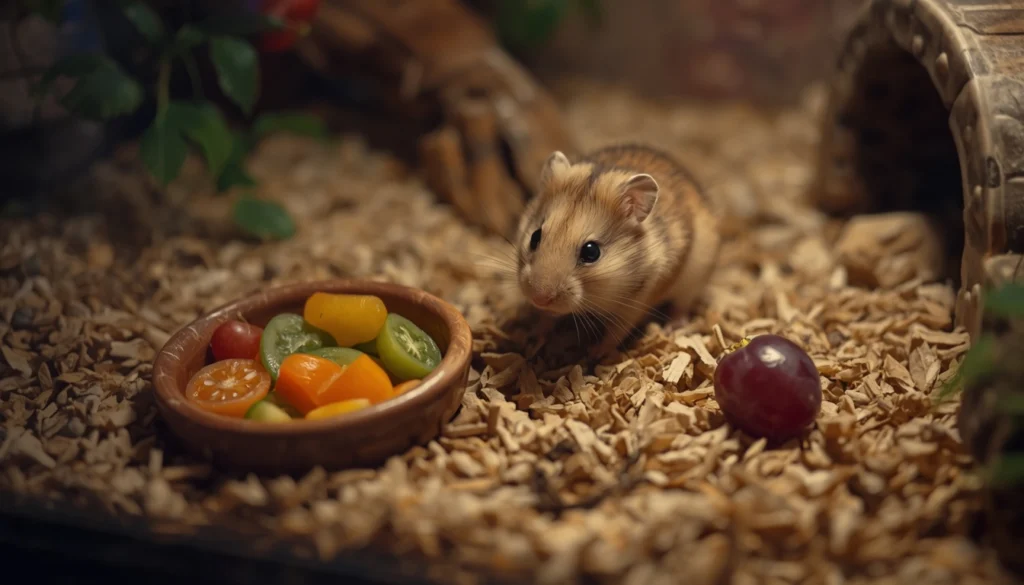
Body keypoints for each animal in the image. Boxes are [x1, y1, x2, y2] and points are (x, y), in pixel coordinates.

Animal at [515, 144, 721, 358]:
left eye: (591, 252)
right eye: (535, 237)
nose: (539, 298)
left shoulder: (636, 304)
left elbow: (616, 332)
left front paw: (594, 353)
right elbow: (544, 319)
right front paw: (531, 338)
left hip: (695, 277)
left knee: (682, 306)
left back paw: (672, 327)